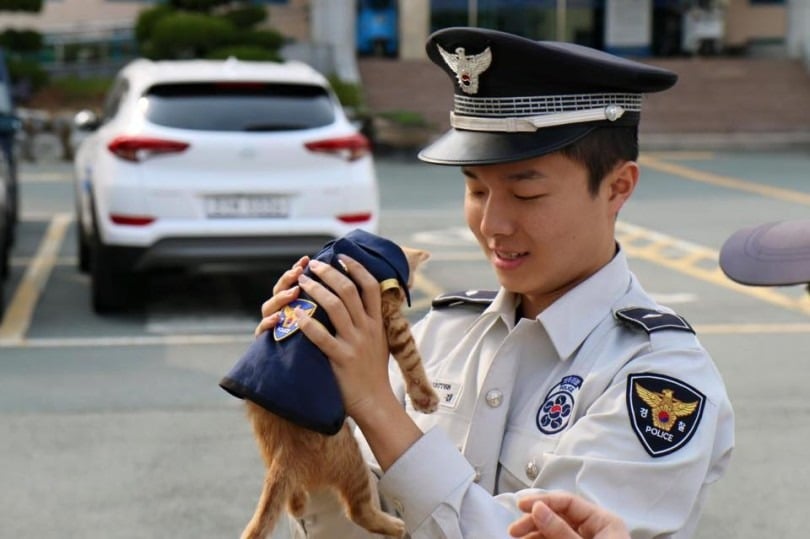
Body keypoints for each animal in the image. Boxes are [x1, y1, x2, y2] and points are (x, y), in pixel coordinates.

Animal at [240, 247, 438, 536]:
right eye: (403, 291)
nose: (403, 296)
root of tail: (284, 450)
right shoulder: (392, 319)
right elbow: (411, 358)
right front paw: (425, 397)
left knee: (293, 502)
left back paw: (300, 502)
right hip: (352, 458)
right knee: (357, 511)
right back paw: (394, 526)